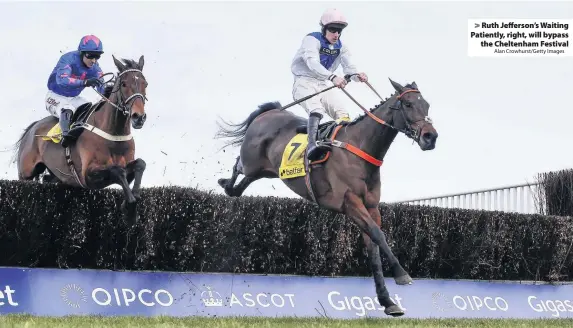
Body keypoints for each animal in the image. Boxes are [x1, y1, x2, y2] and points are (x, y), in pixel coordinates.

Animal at [13, 55, 149, 220]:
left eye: (145, 84)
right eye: (124, 84)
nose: (138, 117)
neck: (113, 135)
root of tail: (32, 128)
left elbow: (140, 164)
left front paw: (133, 201)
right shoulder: (88, 175)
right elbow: (118, 170)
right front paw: (129, 207)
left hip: (57, 175)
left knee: (48, 180)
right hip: (25, 174)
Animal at [214, 78, 438, 316]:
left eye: (426, 105)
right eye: (408, 104)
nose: (431, 137)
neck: (360, 148)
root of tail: (270, 111)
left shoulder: (371, 206)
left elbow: (374, 247)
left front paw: (388, 302)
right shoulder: (350, 202)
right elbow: (378, 234)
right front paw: (401, 274)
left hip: (266, 170)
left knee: (238, 188)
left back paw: (227, 185)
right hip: (253, 162)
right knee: (239, 165)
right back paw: (226, 180)